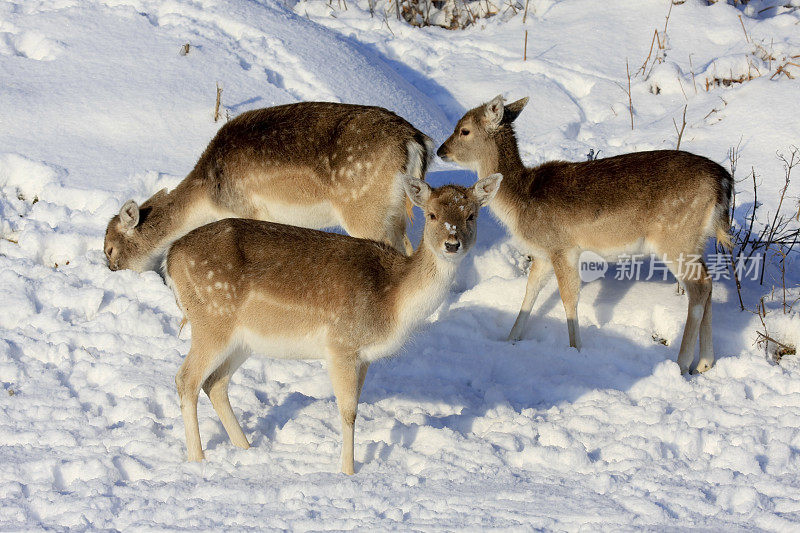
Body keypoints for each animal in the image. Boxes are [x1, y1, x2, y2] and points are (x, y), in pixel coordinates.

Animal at [104, 102, 438, 272]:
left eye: (109, 248)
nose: (112, 270)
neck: (208, 197)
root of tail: (415, 141)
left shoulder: (245, 209)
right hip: (396, 212)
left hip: (364, 210)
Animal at [162, 172, 500, 472]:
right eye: (431, 215)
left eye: (471, 215)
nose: (452, 244)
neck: (393, 300)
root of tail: (171, 257)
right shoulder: (341, 344)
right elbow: (348, 412)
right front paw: (348, 472)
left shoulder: (364, 357)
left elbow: (356, 406)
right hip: (211, 320)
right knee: (186, 379)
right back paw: (198, 459)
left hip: (242, 339)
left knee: (215, 383)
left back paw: (246, 448)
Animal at [438, 95, 732, 376]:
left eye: (464, 130)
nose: (441, 150)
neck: (519, 203)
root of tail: (723, 182)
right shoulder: (544, 252)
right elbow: (530, 290)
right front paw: (510, 339)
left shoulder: (562, 246)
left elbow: (569, 298)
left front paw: (575, 349)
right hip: (695, 240)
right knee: (708, 283)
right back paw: (704, 363)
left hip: (675, 236)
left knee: (699, 286)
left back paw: (682, 364)